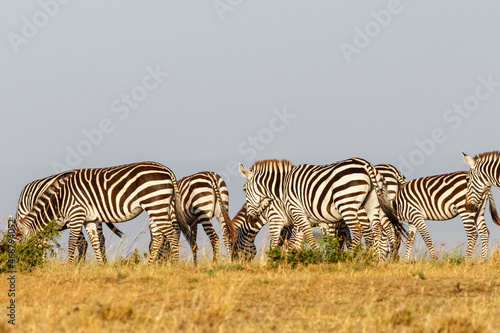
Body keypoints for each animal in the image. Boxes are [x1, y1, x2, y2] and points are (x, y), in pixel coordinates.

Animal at [14, 161, 191, 264]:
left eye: (19, 242)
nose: (18, 262)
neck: (60, 201)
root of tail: (166, 169)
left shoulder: (76, 215)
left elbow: (73, 243)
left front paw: (69, 267)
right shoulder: (89, 219)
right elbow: (95, 242)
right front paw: (100, 266)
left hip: (155, 203)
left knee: (171, 233)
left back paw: (174, 264)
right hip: (157, 206)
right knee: (159, 235)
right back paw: (150, 266)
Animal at [238, 157, 402, 250]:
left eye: (244, 189)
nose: (250, 218)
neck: (282, 188)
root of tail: (366, 165)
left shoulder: (288, 215)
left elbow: (302, 239)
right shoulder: (316, 219)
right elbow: (306, 241)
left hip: (348, 206)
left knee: (360, 231)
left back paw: (355, 256)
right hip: (372, 205)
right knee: (375, 231)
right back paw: (372, 260)